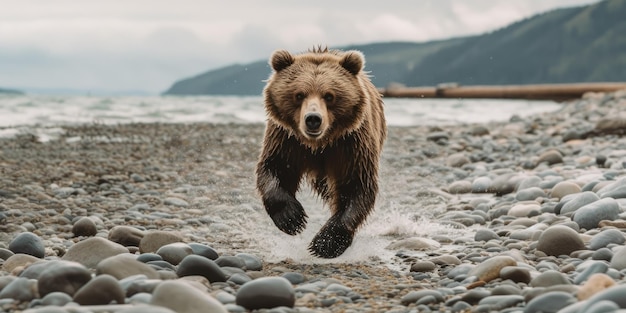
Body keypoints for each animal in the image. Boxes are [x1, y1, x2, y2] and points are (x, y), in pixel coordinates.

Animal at [255, 45, 386, 256]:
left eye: (329, 96)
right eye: (299, 94)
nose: (313, 119)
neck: (319, 144)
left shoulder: (351, 144)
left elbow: (356, 185)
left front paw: (326, 243)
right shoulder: (287, 140)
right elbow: (275, 169)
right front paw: (292, 218)